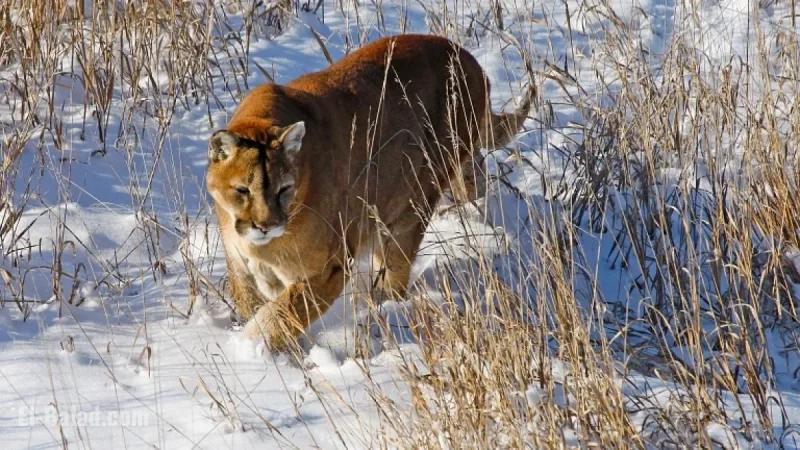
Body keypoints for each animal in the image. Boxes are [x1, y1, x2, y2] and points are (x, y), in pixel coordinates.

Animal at [206, 33, 533, 351]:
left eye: (283, 189)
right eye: (242, 190)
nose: (266, 226)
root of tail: (467, 57)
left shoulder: (328, 268)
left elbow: (280, 315)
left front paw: (249, 348)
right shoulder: (241, 268)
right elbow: (256, 306)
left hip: (411, 204)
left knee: (396, 268)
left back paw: (386, 308)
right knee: (474, 180)